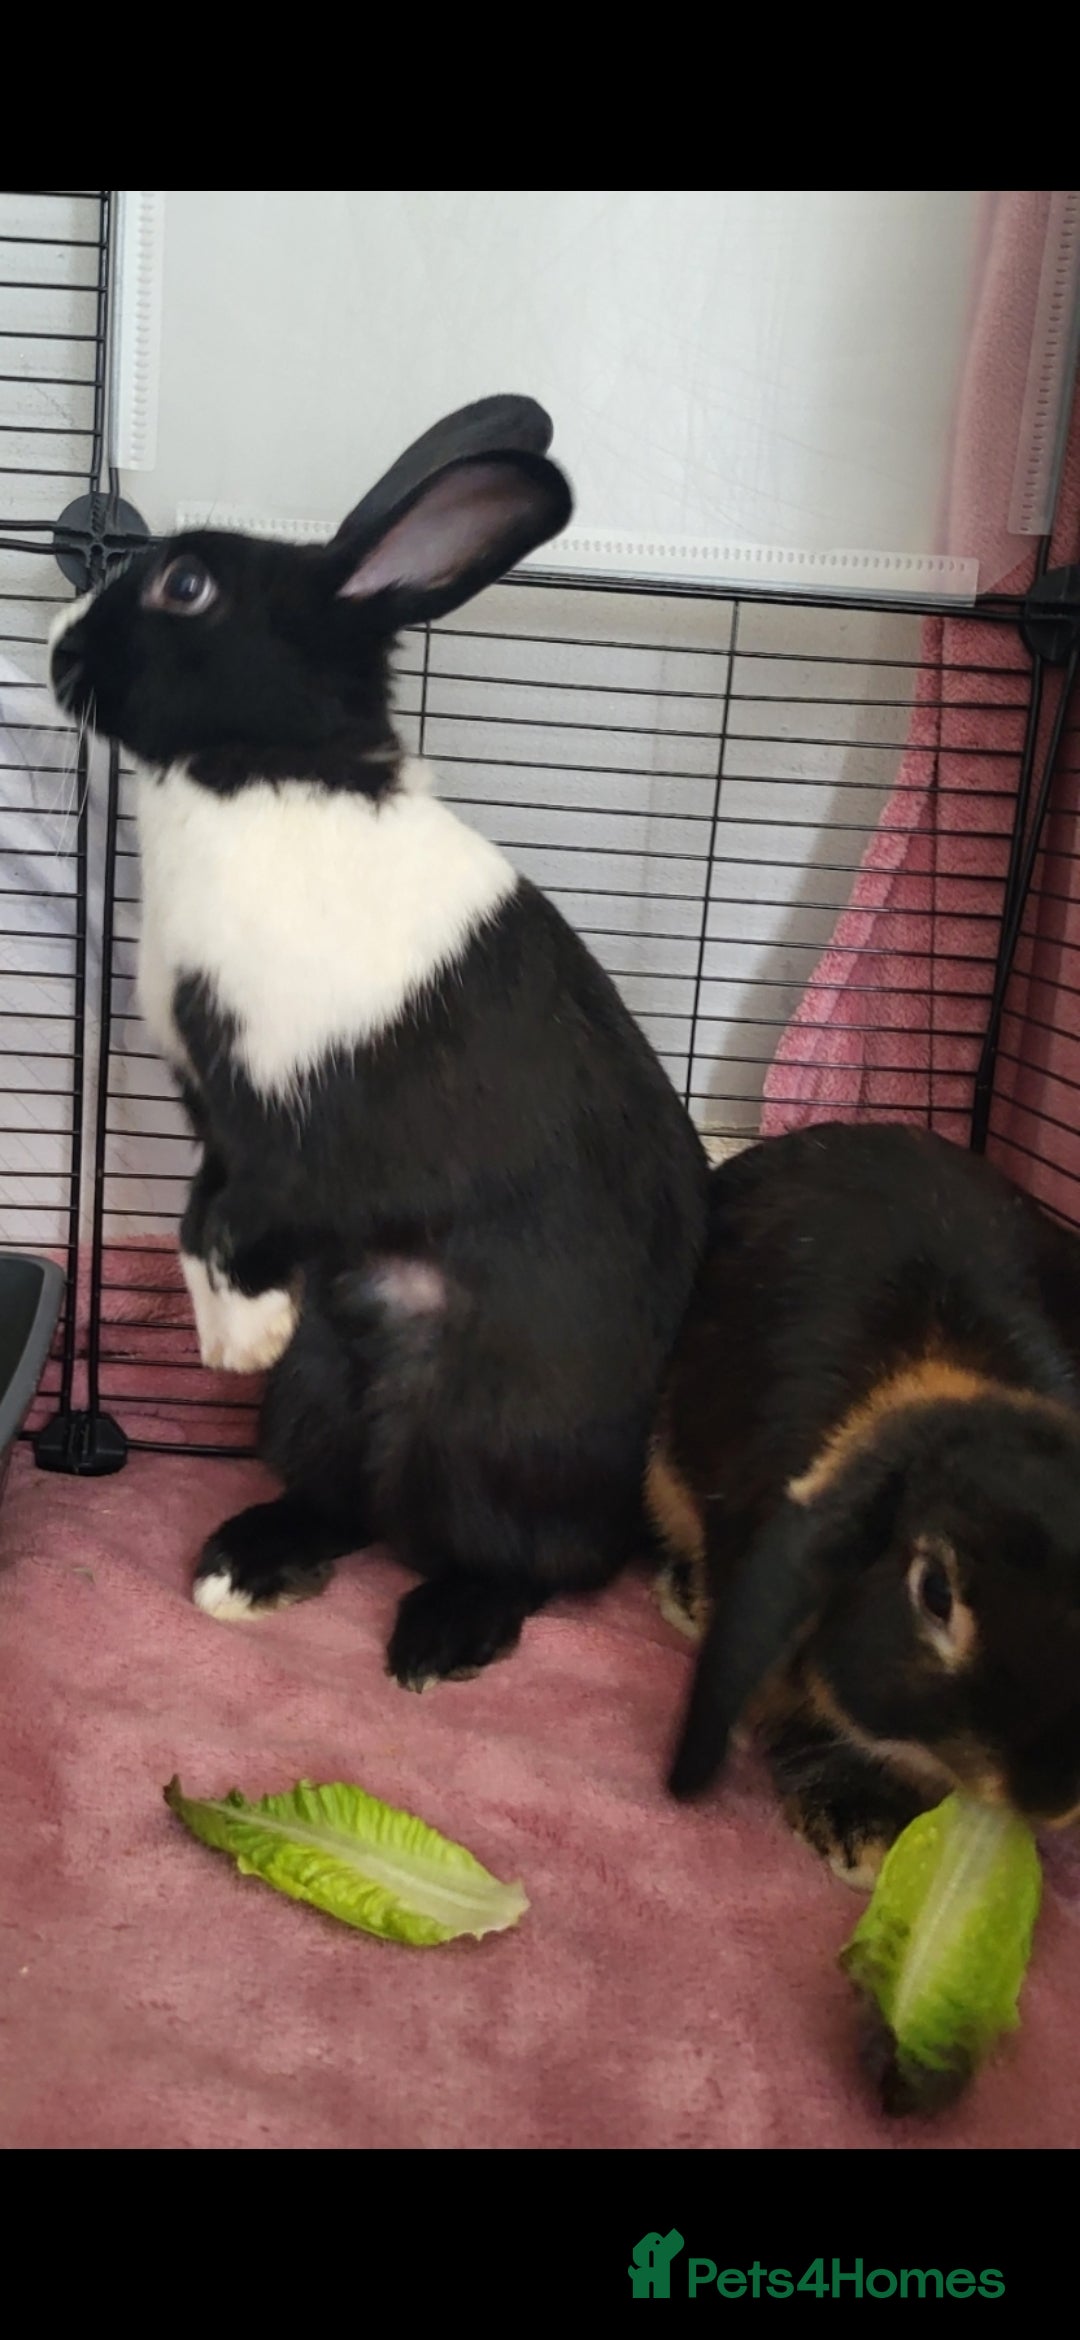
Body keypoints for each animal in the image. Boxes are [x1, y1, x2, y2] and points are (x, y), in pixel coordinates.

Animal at [50, 395, 709, 1689]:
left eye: (186, 585)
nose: (54, 654)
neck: (263, 775)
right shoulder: (219, 1118)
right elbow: (196, 1222)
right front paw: (232, 1340)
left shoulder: (321, 1136)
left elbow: (243, 1221)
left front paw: (241, 1334)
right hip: (323, 1404)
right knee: (347, 1504)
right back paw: (247, 1566)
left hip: (504, 1442)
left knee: (531, 1561)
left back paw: (442, 1635)